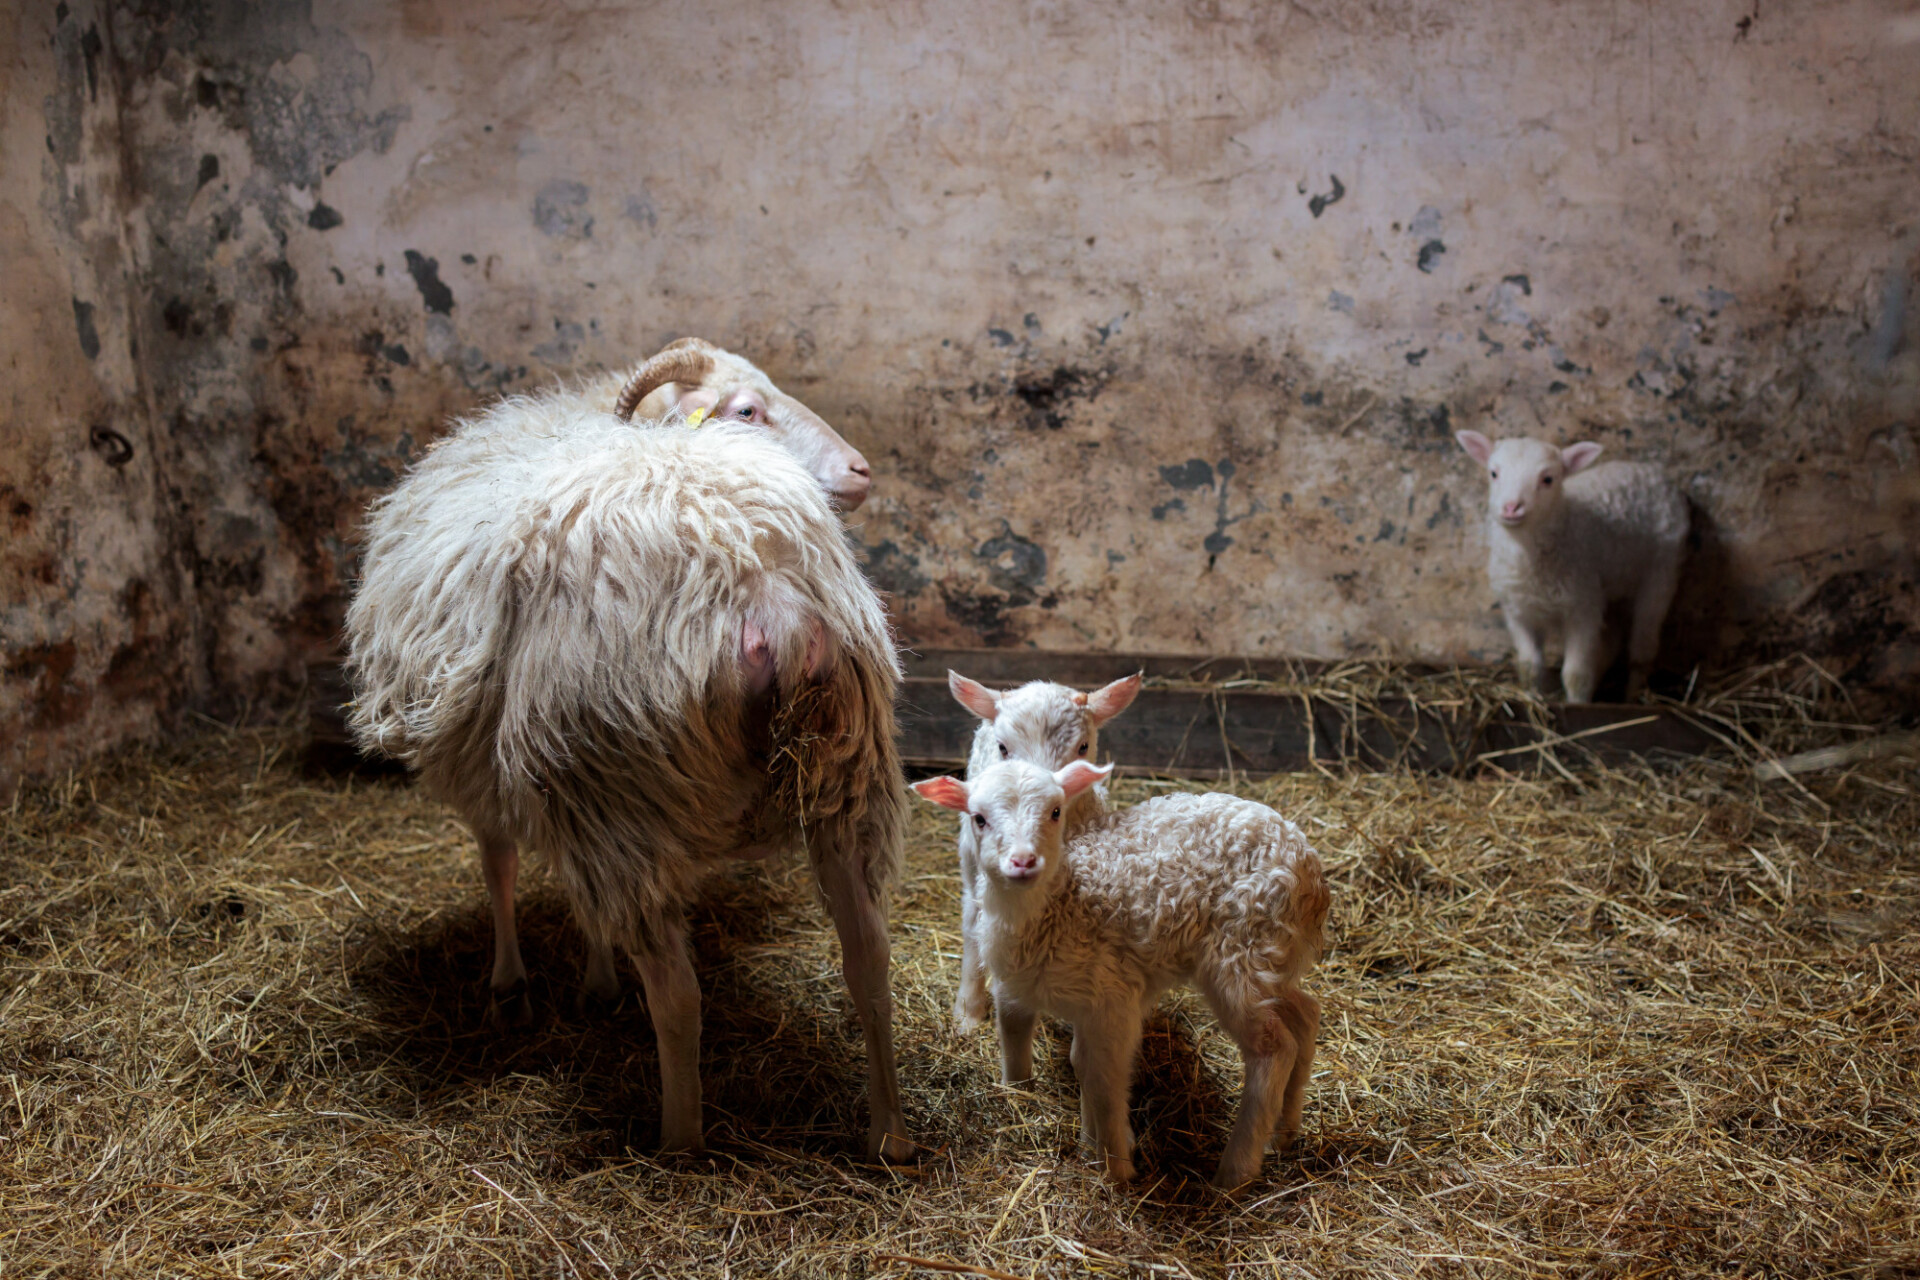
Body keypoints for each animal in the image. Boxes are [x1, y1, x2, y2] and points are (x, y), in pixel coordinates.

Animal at [345, 337, 913, 1159]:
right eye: (748, 410)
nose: (862, 471)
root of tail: (763, 587)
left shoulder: (493, 765)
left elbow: (497, 862)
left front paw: (515, 985)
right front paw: (589, 981)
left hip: (619, 783)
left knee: (677, 998)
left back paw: (677, 1145)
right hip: (842, 777)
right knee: (869, 959)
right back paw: (889, 1134)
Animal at [906, 759, 1328, 1189]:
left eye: (1055, 812)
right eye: (979, 818)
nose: (1024, 861)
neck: (1058, 907)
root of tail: (1309, 867)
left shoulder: (1112, 997)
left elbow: (1104, 1079)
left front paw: (1115, 1168)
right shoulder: (1063, 993)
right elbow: (1071, 1059)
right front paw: (1086, 1141)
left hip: (1240, 950)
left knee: (1273, 1047)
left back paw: (1235, 1171)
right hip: (1272, 958)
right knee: (1306, 1015)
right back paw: (1284, 1133)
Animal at [1451, 435, 1697, 706]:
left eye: (1548, 479)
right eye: (1494, 473)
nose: (1511, 507)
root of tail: (1649, 471)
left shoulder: (1582, 608)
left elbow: (1576, 673)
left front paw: (1577, 704)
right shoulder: (1518, 611)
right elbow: (1529, 666)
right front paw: (1534, 697)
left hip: (1662, 571)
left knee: (1642, 648)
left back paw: (1632, 697)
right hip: (1610, 585)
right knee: (1611, 641)